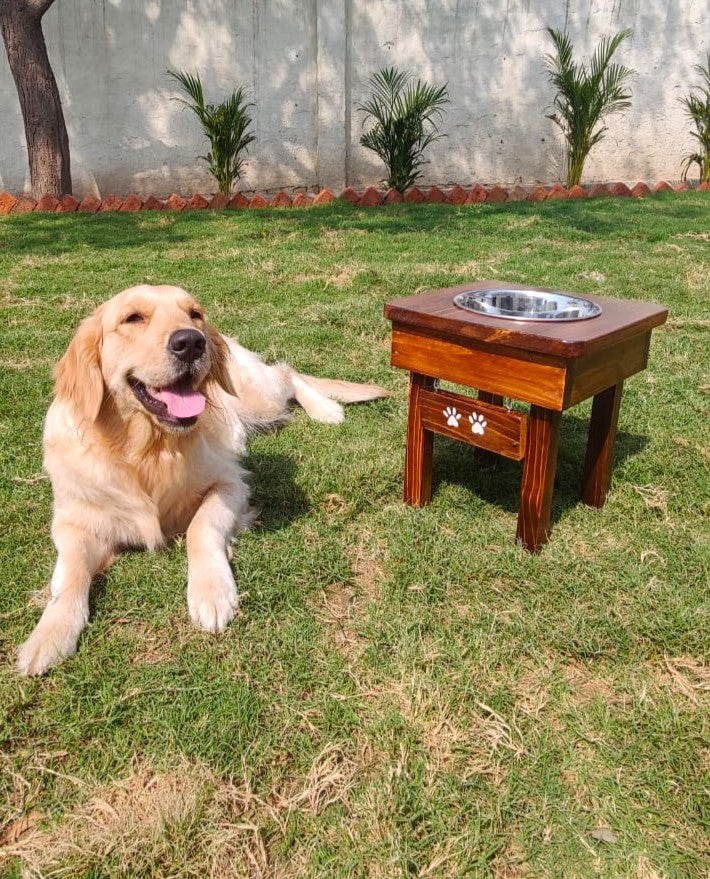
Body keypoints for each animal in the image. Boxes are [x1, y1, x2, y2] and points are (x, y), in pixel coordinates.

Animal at [16, 286, 386, 676]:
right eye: (133, 318)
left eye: (194, 313)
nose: (192, 342)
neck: (148, 451)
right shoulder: (72, 520)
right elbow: (68, 574)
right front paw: (49, 634)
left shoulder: (231, 484)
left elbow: (201, 526)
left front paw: (211, 592)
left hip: (257, 398)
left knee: (287, 373)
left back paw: (327, 409)